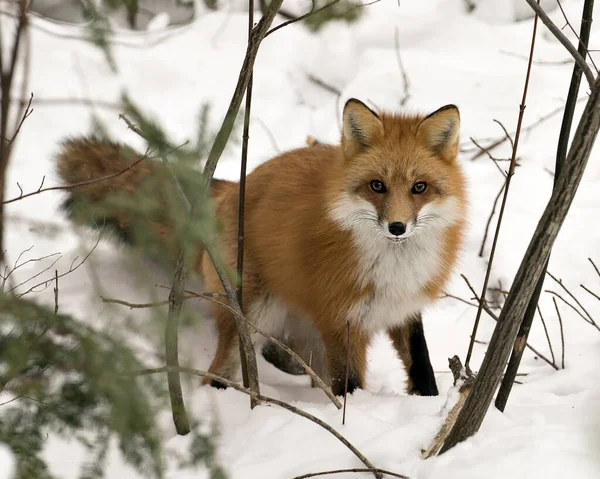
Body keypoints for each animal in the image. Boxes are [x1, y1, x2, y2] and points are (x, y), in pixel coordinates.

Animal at [56, 98, 466, 398]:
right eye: (377, 186)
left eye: (419, 188)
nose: (397, 227)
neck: (393, 267)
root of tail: (234, 186)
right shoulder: (340, 321)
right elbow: (348, 385)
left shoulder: (404, 309)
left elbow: (421, 365)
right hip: (253, 315)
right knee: (220, 372)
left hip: (299, 334)